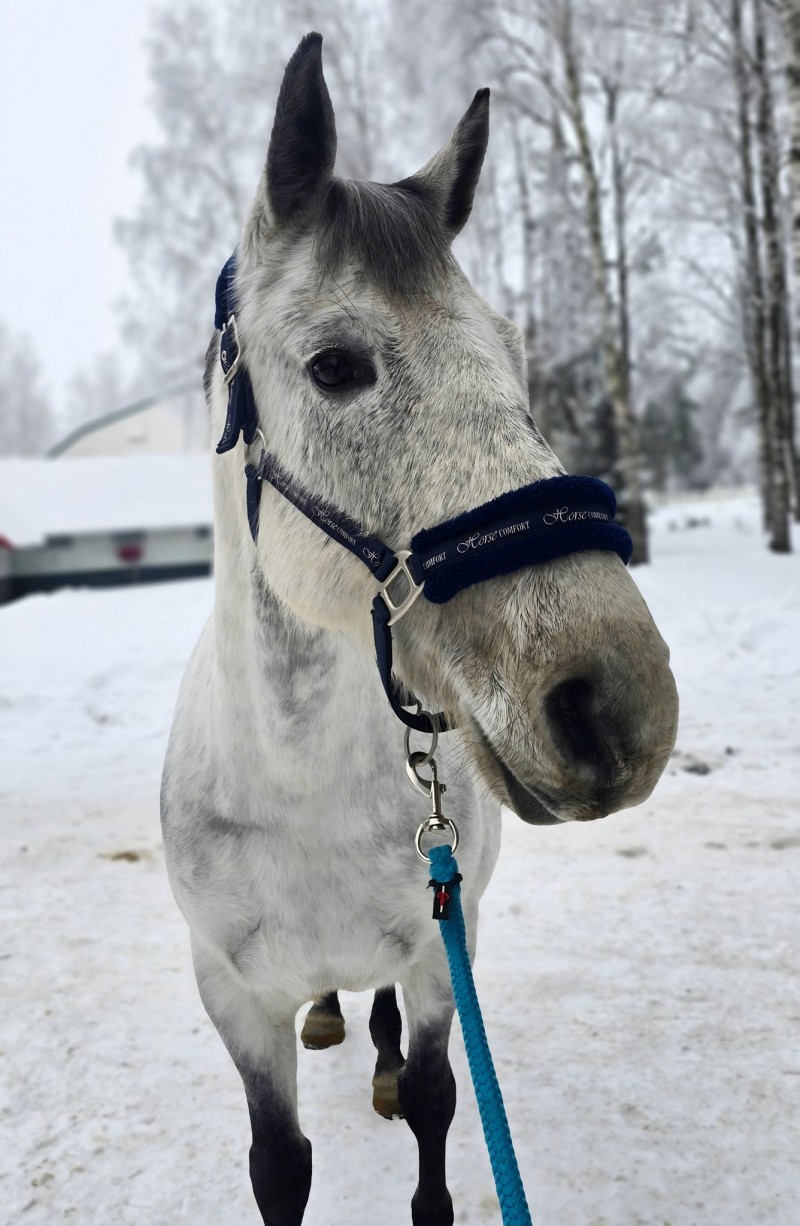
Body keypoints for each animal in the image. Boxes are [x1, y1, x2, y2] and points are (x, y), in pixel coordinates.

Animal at [161, 32, 679, 1226]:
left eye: (512, 350)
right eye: (336, 366)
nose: (613, 701)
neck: (297, 786)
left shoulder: (449, 953)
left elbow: (444, 1104)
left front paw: (412, 1095)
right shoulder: (231, 997)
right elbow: (279, 1163)